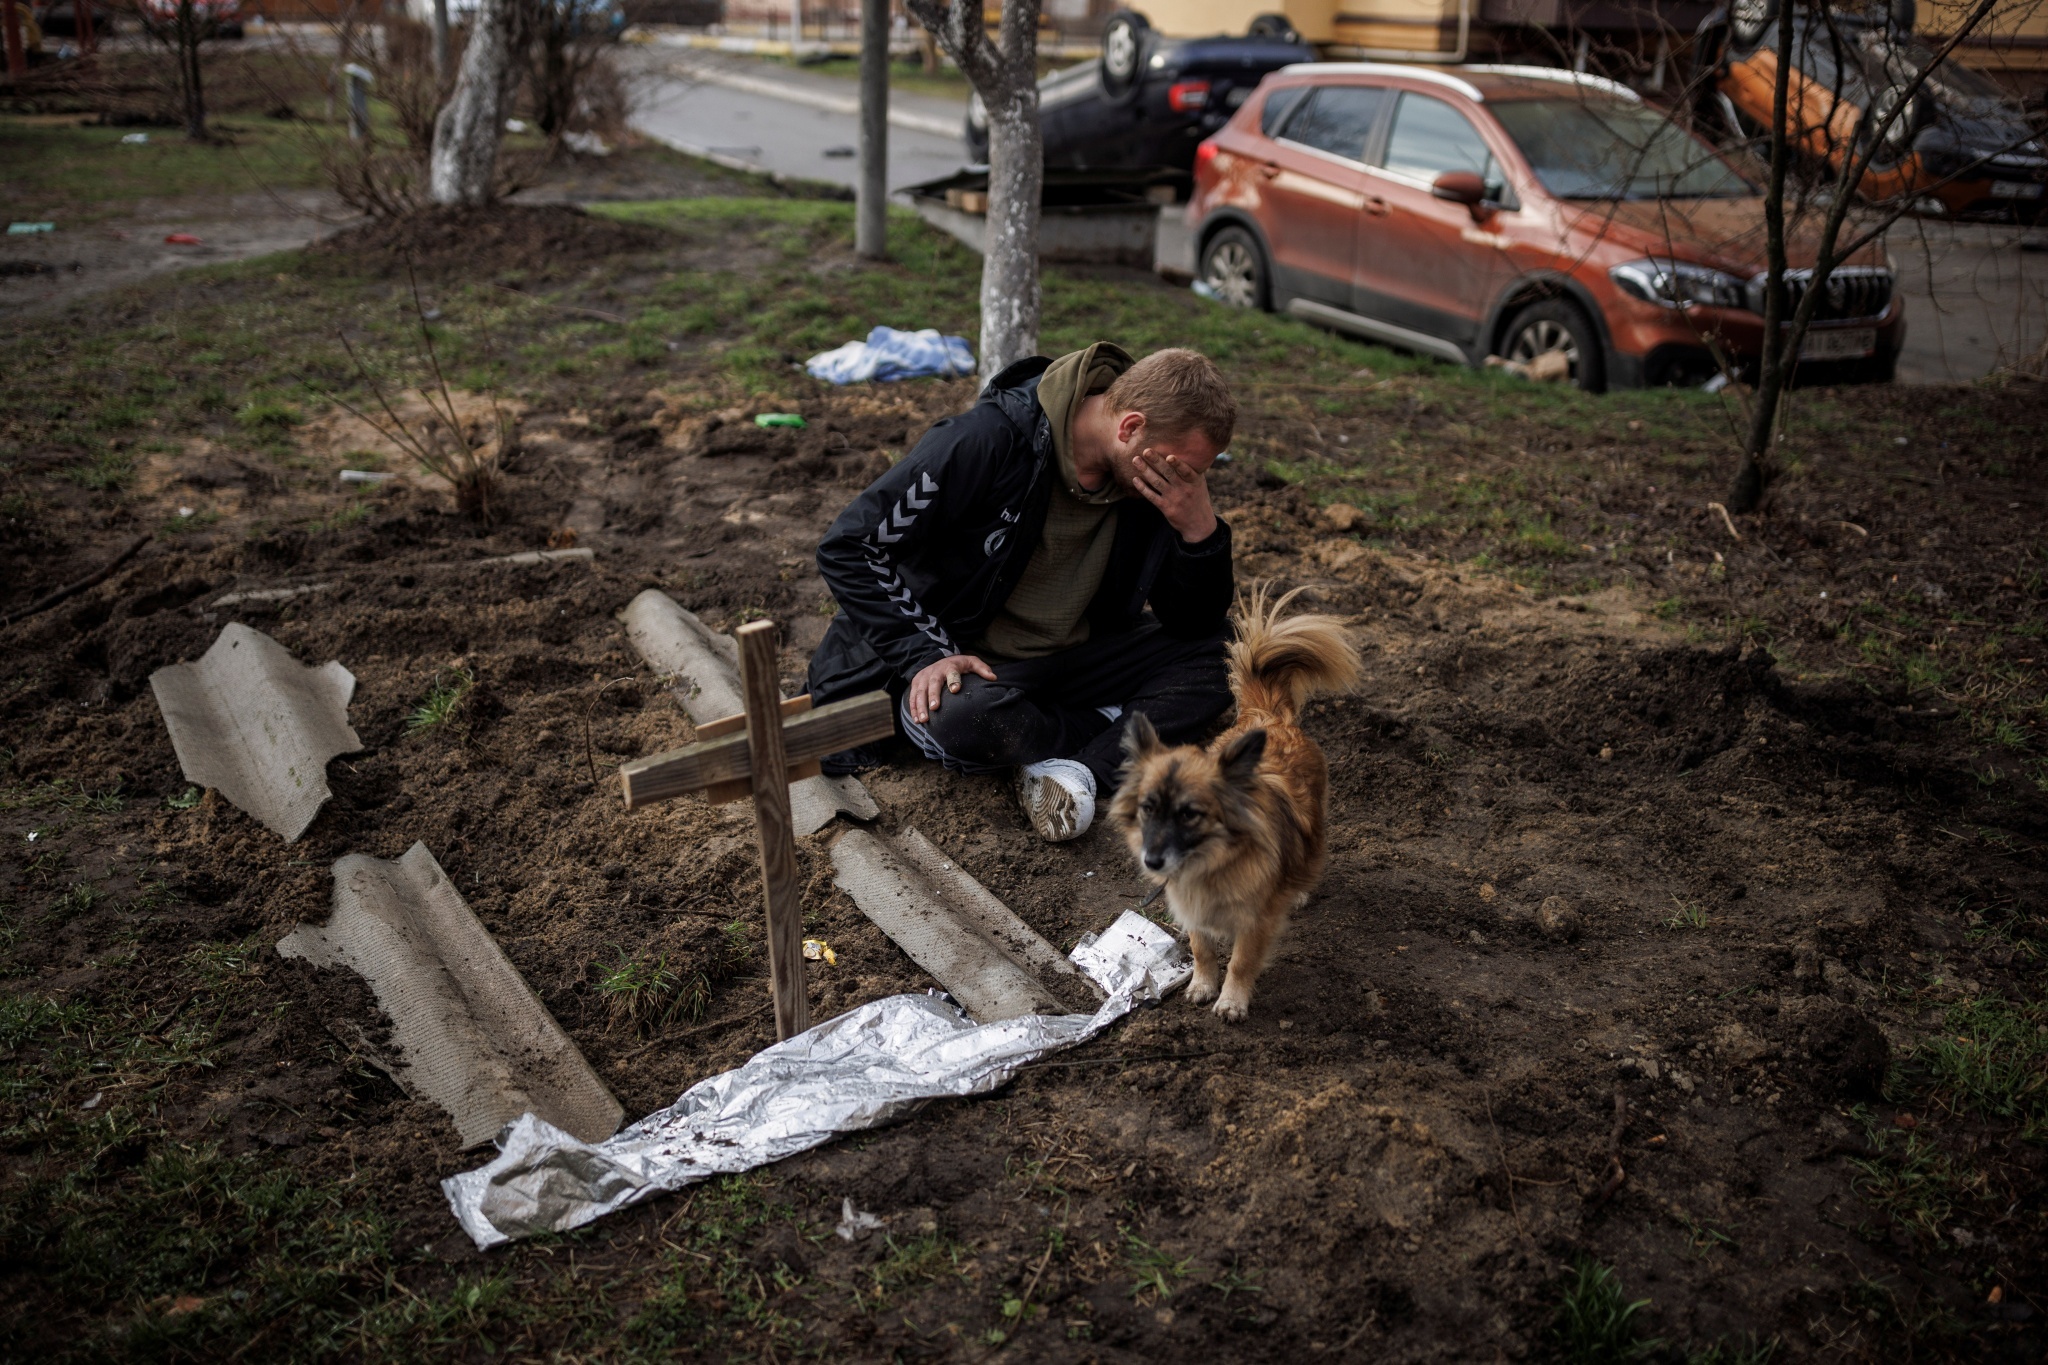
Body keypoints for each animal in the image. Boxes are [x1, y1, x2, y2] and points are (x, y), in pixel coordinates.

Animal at [1114, 589, 1351, 1023]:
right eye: (1147, 808)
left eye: (1190, 814)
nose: (1152, 861)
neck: (1213, 863)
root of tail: (1268, 717)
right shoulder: (1191, 907)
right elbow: (1202, 949)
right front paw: (1202, 985)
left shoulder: (1257, 921)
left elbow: (1241, 961)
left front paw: (1231, 1001)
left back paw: (1299, 890)